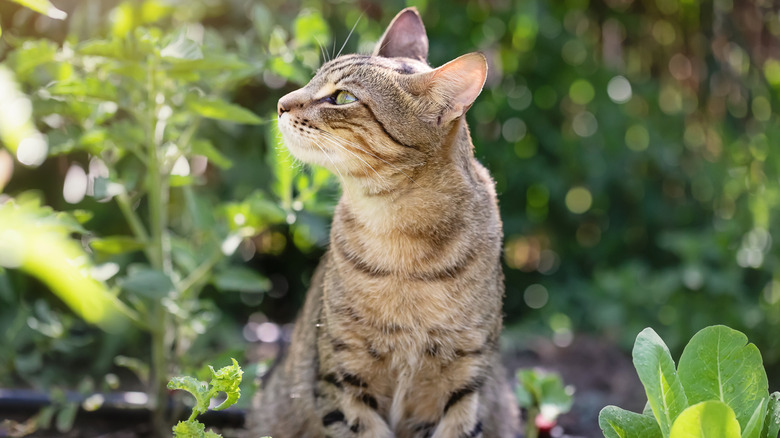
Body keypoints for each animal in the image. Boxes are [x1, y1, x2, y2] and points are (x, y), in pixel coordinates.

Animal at [247, 7, 520, 438]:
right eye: (313, 78)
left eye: (343, 97)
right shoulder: (341, 377)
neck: (403, 241)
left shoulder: (467, 379)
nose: (280, 103)